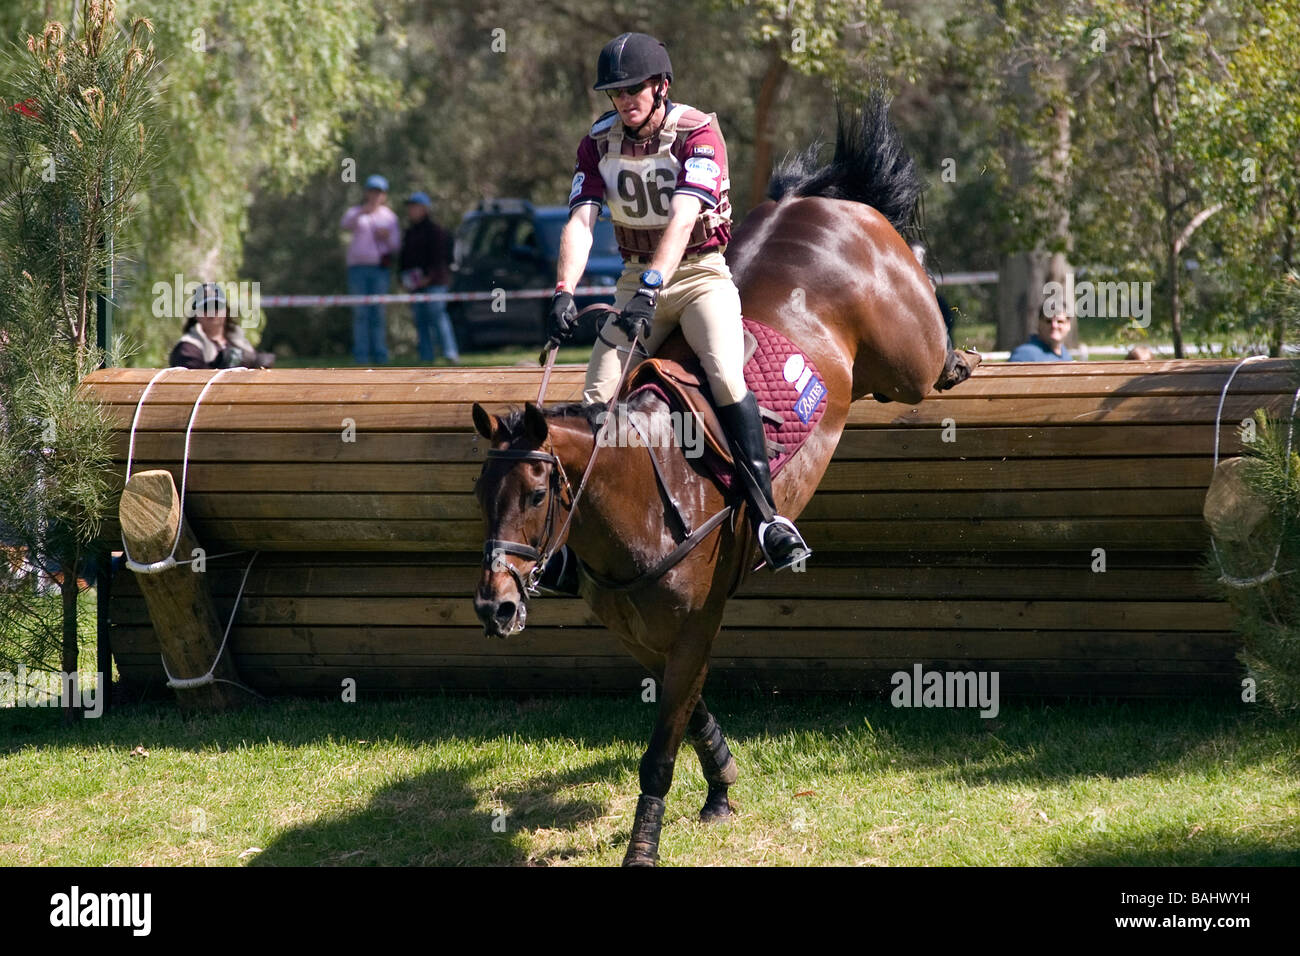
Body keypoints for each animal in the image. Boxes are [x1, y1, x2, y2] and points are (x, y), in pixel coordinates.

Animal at [471, 95, 971, 866]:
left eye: (534, 495)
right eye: (478, 498)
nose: (494, 608)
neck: (645, 499)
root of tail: (822, 202)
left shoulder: (695, 626)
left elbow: (659, 750)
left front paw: (643, 847)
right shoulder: (639, 633)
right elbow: (693, 710)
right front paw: (722, 783)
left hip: (905, 361)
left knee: (926, 345)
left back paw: (960, 352)